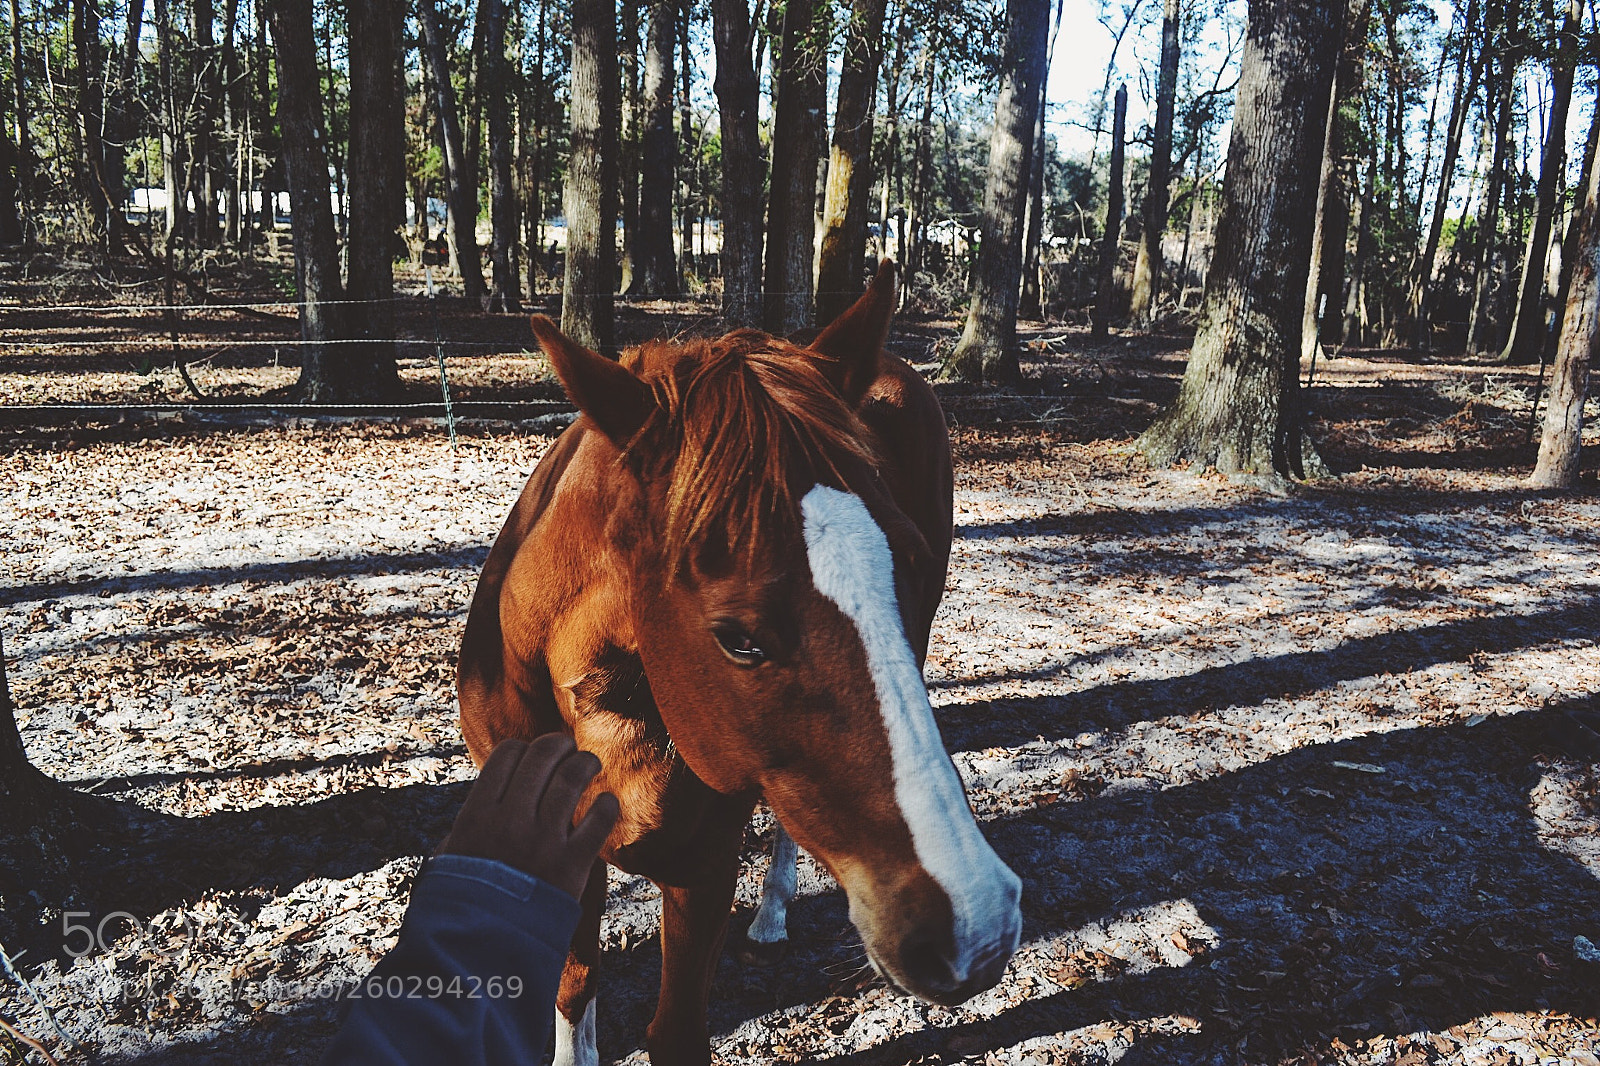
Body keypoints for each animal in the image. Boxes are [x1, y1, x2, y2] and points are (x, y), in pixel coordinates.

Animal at [456, 263, 1021, 1066]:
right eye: (737, 638)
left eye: (907, 564)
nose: (976, 924)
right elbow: (573, 987)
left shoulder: (703, 867)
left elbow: (676, 1031)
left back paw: (774, 912)